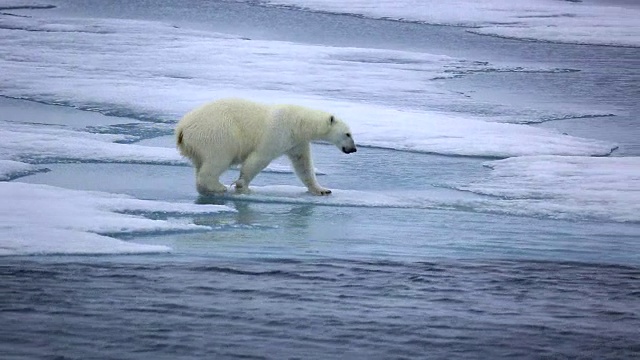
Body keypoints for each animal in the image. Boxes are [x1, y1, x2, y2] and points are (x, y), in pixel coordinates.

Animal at [175, 97, 356, 195]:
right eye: (348, 134)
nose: (353, 149)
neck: (298, 123)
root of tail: (182, 129)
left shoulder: (296, 142)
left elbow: (303, 164)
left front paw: (322, 190)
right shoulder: (278, 132)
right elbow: (259, 158)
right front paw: (243, 186)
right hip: (217, 133)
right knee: (218, 160)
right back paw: (218, 186)